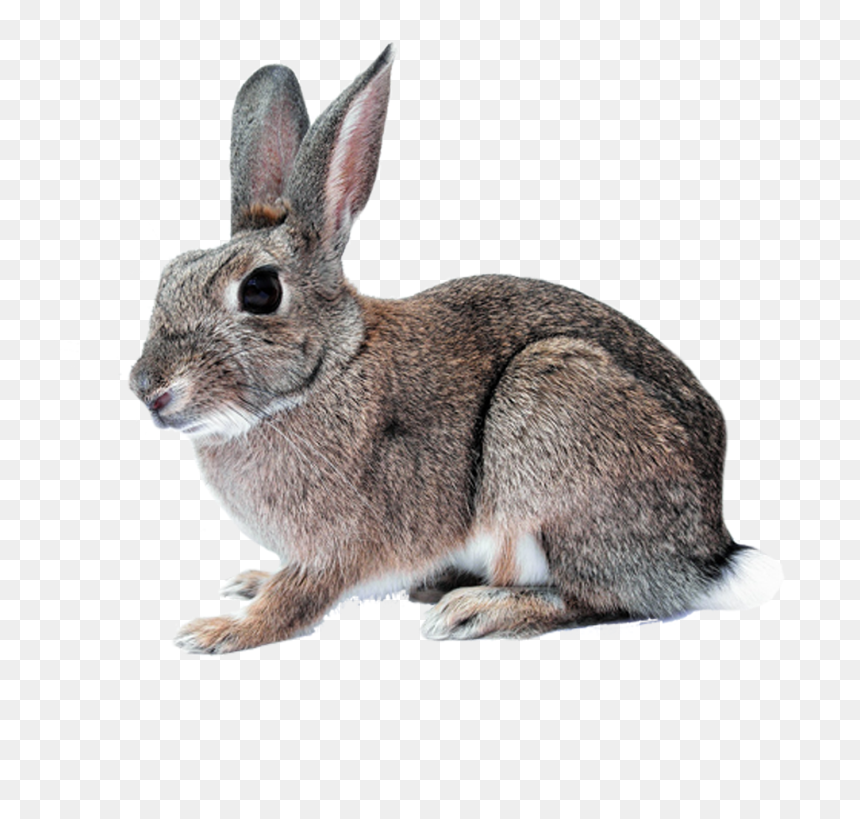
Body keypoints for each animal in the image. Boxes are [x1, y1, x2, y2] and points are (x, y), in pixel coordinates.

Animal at [129, 45, 782, 653]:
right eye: (170, 274)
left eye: (260, 291)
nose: (147, 390)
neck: (327, 372)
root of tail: (708, 557)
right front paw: (249, 584)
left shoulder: (341, 544)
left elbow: (297, 599)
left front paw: (221, 631)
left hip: (552, 419)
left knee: (600, 598)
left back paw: (480, 610)